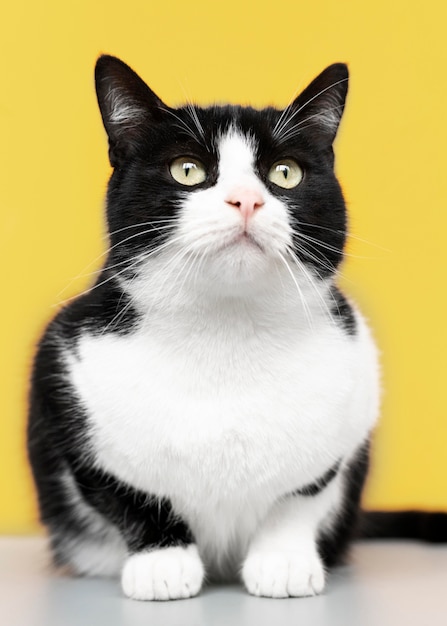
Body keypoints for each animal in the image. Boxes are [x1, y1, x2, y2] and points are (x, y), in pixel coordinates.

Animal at [27, 54, 444, 600]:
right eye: (188, 169)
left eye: (285, 173)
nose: (246, 200)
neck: (227, 329)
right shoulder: (64, 379)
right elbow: (126, 493)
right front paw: (163, 561)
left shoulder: (351, 398)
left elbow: (301, 494)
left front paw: (282, 561)